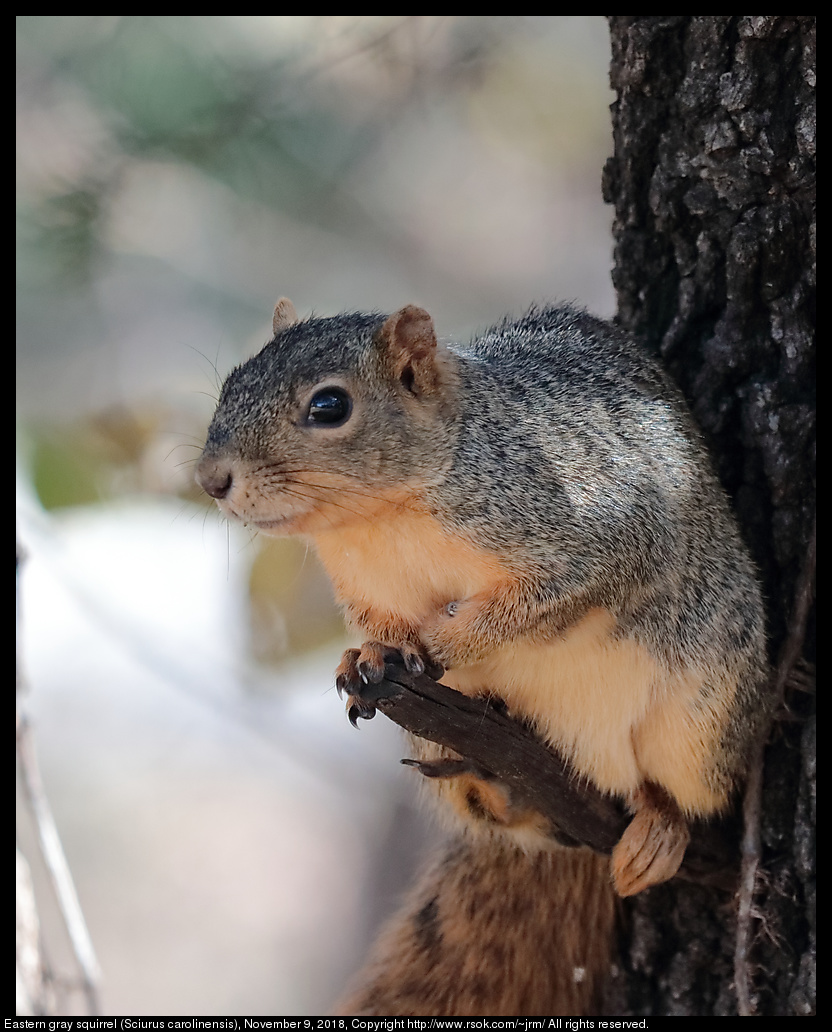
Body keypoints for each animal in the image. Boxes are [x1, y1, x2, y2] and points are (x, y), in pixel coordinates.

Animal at [197, 299, 776, 1015]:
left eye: (329, 406)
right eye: (230, 384)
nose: (210, 479)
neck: (383, 520)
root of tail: (589, 770)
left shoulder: (594, 535)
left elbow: (533, 605)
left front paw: (445, 642)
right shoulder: (361, 589)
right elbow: (379, 625)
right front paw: (367, 655)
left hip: (706, 713)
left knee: (682, 792)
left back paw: (659, 828)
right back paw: (498, 788)